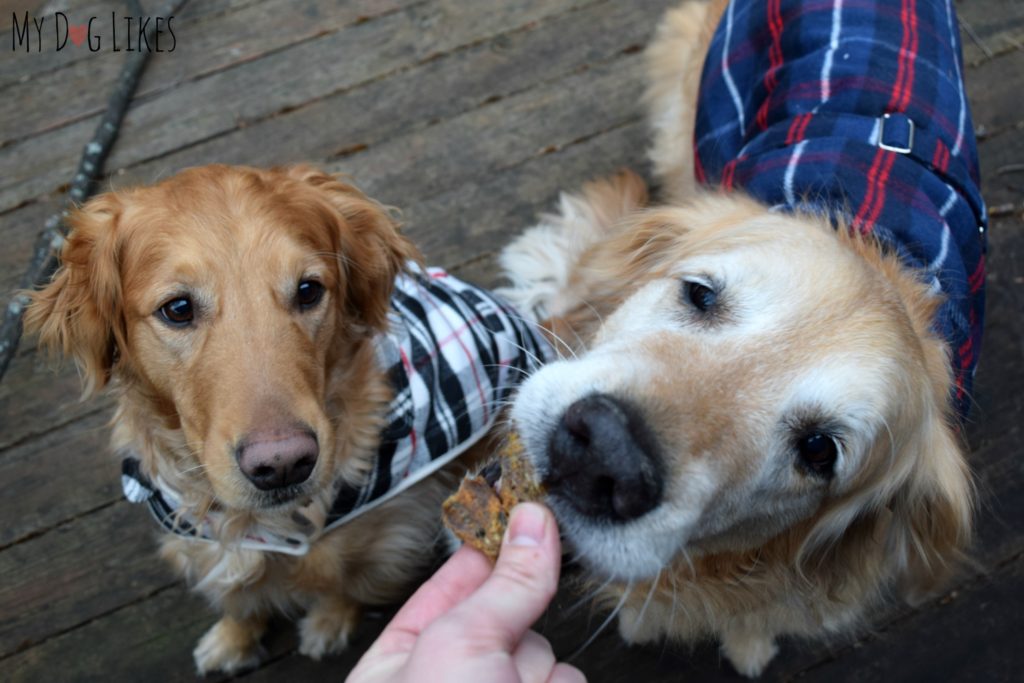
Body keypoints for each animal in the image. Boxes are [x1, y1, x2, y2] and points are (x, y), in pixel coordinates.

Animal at [24, 162, 548, 675]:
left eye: (309, 290)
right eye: (178, 308)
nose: (282, 464)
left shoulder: (383, 536)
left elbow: (342, 582)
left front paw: (329, 623)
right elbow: (237, 597)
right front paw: (232, 638)